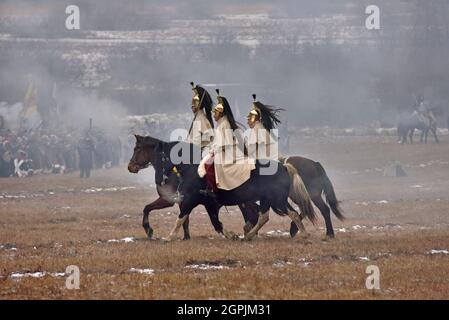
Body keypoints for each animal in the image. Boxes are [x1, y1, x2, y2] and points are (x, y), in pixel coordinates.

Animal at [126, 134, 316, 240]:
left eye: (137, 148)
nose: (130, 167)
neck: (189, 167)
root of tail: (284, 166)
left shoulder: (189, 201)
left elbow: (181, 218)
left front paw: (168, 236)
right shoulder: (208, 204)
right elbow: (215, 222)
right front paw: (231, 235)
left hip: (276, 200)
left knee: (289, 214)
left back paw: (303, 234)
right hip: (269, 200)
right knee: (266, 216)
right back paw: (250, 235)